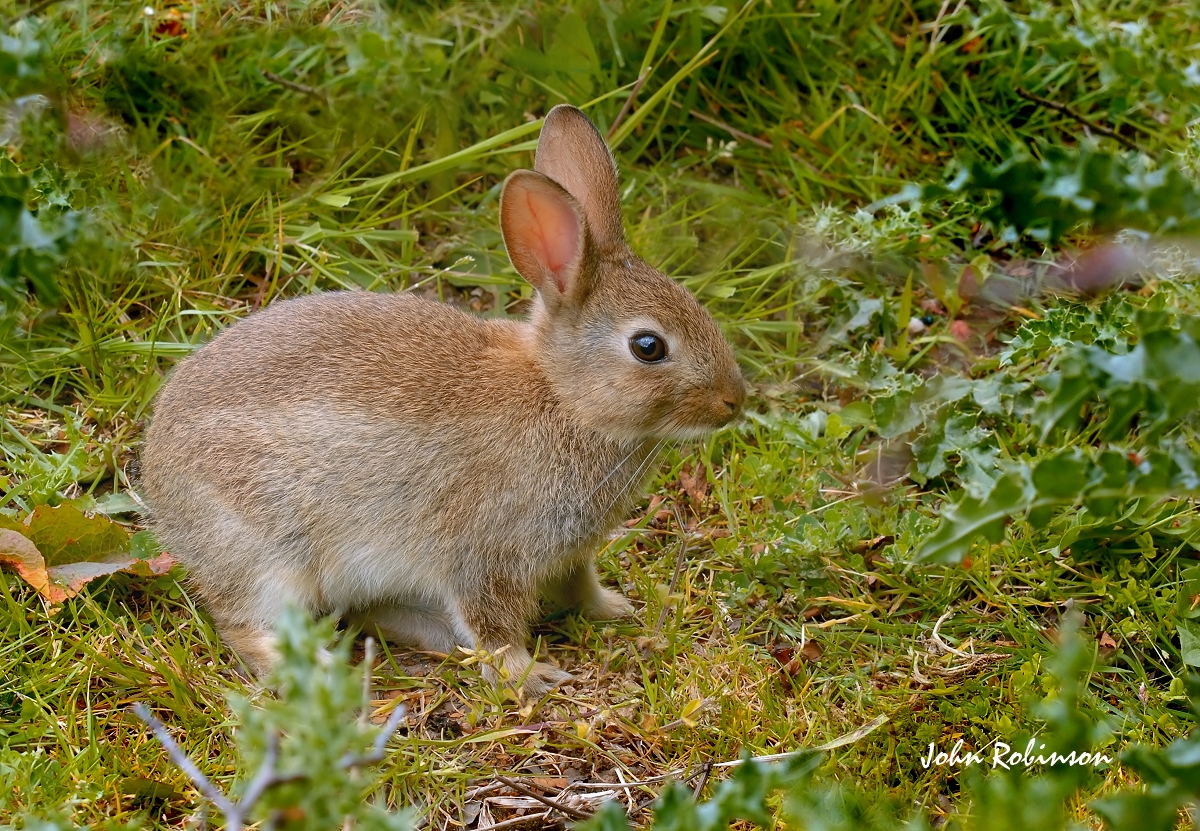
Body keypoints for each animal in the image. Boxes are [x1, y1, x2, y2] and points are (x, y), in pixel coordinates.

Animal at [140, 104, 746, 697]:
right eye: (648, 347)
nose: (734, 402)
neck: (564, 396)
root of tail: (157, 475)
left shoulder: (568, 553)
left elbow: (580, 586)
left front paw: (616, 609)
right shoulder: (487, 551)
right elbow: (492, 622)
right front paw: (528, 675)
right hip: (268, 553)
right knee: (243, 624)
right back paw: (319, 669)